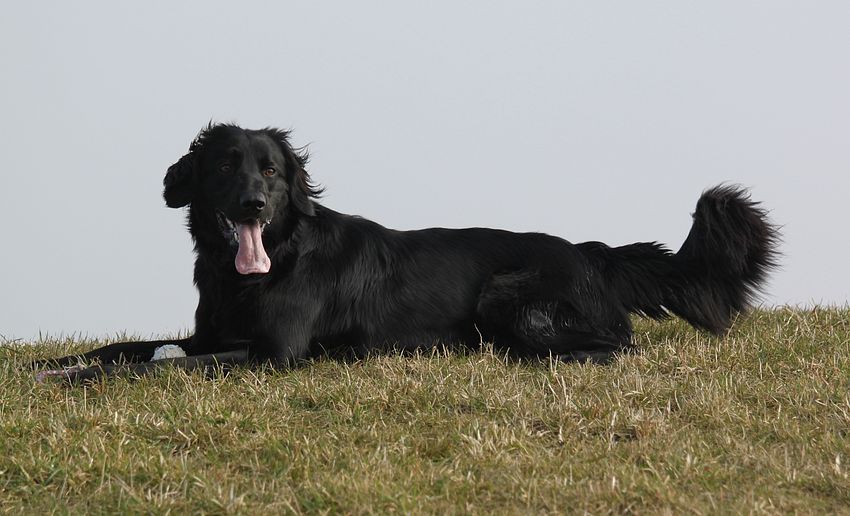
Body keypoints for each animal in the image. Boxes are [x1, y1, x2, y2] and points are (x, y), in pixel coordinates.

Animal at [34, 123, 779, 382]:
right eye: (224, 166)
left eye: (272, 172)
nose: (252, 204)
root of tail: (593, 253)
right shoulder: (209, 333)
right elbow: (130, 349)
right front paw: (52, 364)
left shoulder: (274, 354)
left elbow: (156, 369)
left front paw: (74, 378)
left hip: (510, 298)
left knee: (618, 344)